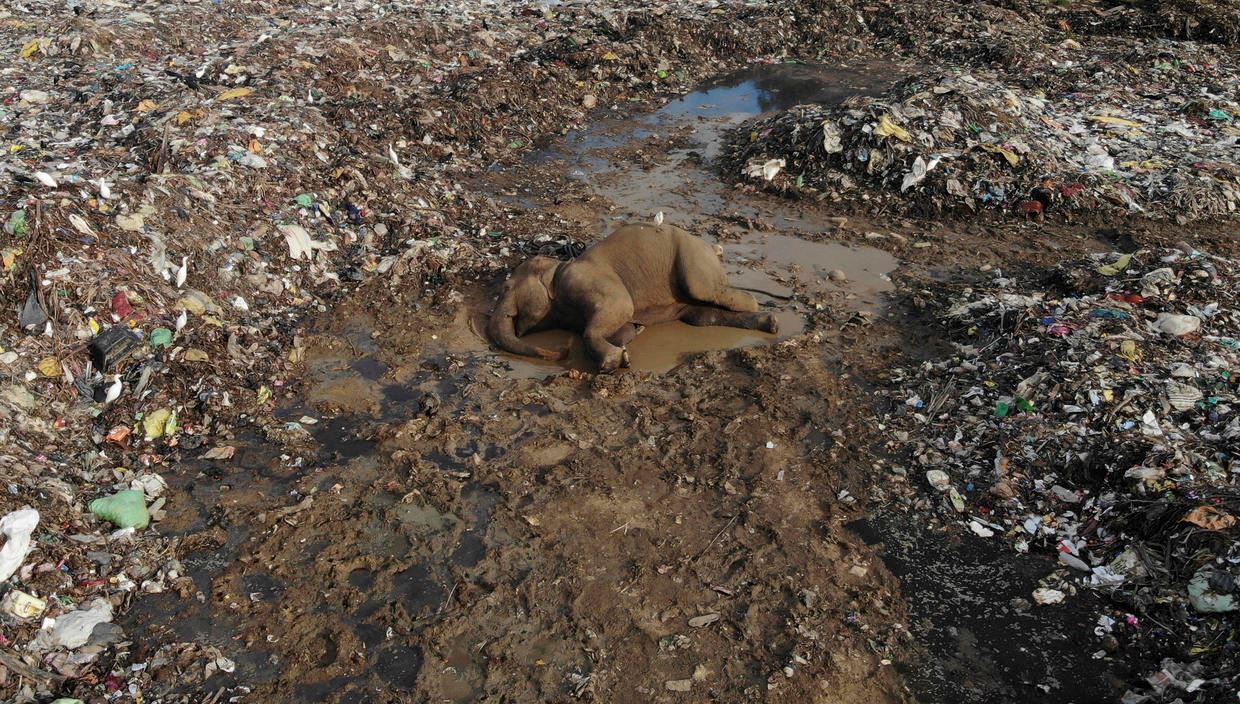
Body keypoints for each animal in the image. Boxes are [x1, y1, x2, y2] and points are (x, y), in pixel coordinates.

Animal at [488, 223, 778, 372]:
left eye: (505, 288)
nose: (563, 350)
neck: (557, 267)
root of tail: (711, 247)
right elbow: (621, 326)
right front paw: (630, 341)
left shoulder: (584, 279)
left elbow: (621, 307)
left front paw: (614, 362)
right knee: (703, 316)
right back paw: (770, 322)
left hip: (693, 257)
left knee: (708, 290)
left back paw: (757, 306)